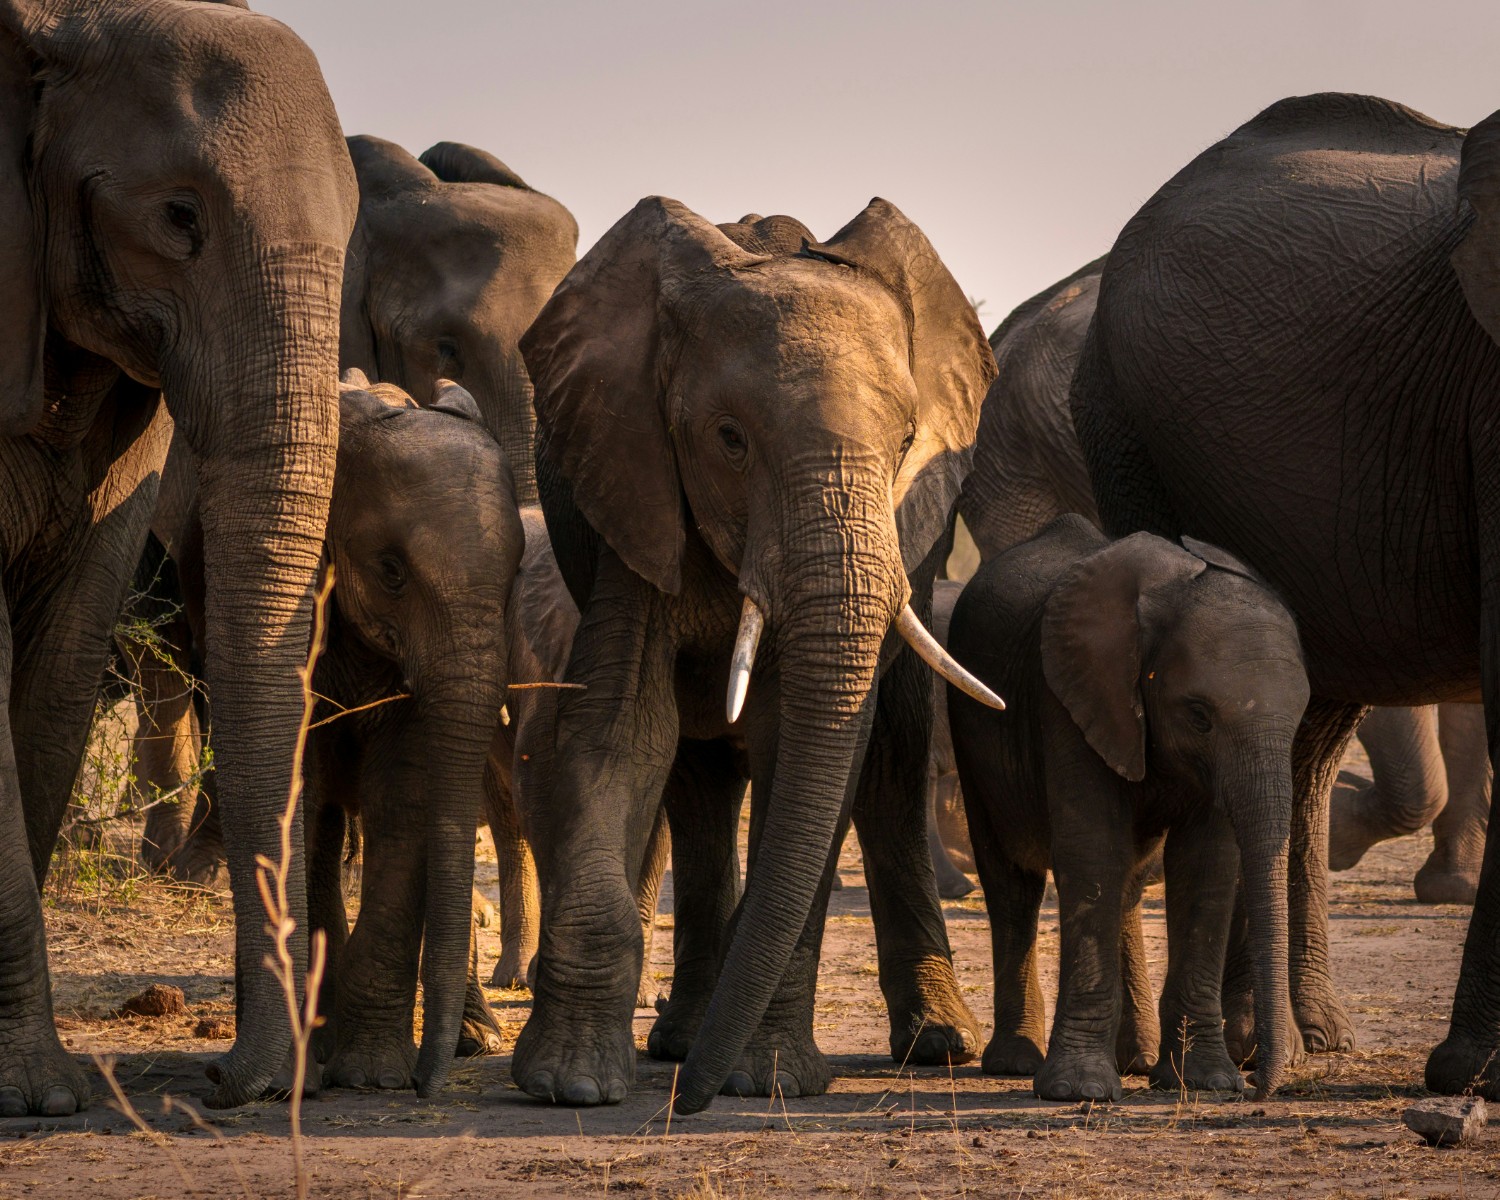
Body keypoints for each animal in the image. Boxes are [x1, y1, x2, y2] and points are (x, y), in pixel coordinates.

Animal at [949, 516, 1307, 1100]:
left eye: (1299, 718)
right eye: (1199, 716)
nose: (1257, 1087)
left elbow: (1205, 864)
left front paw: (1205, 1082)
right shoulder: (1069, 696)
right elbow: (1093, 851)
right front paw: (1079, 1091)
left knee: (1128, 881)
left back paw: (1134, 1060)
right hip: (972, 733)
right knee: (1013, 884)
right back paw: (1015, 1063)